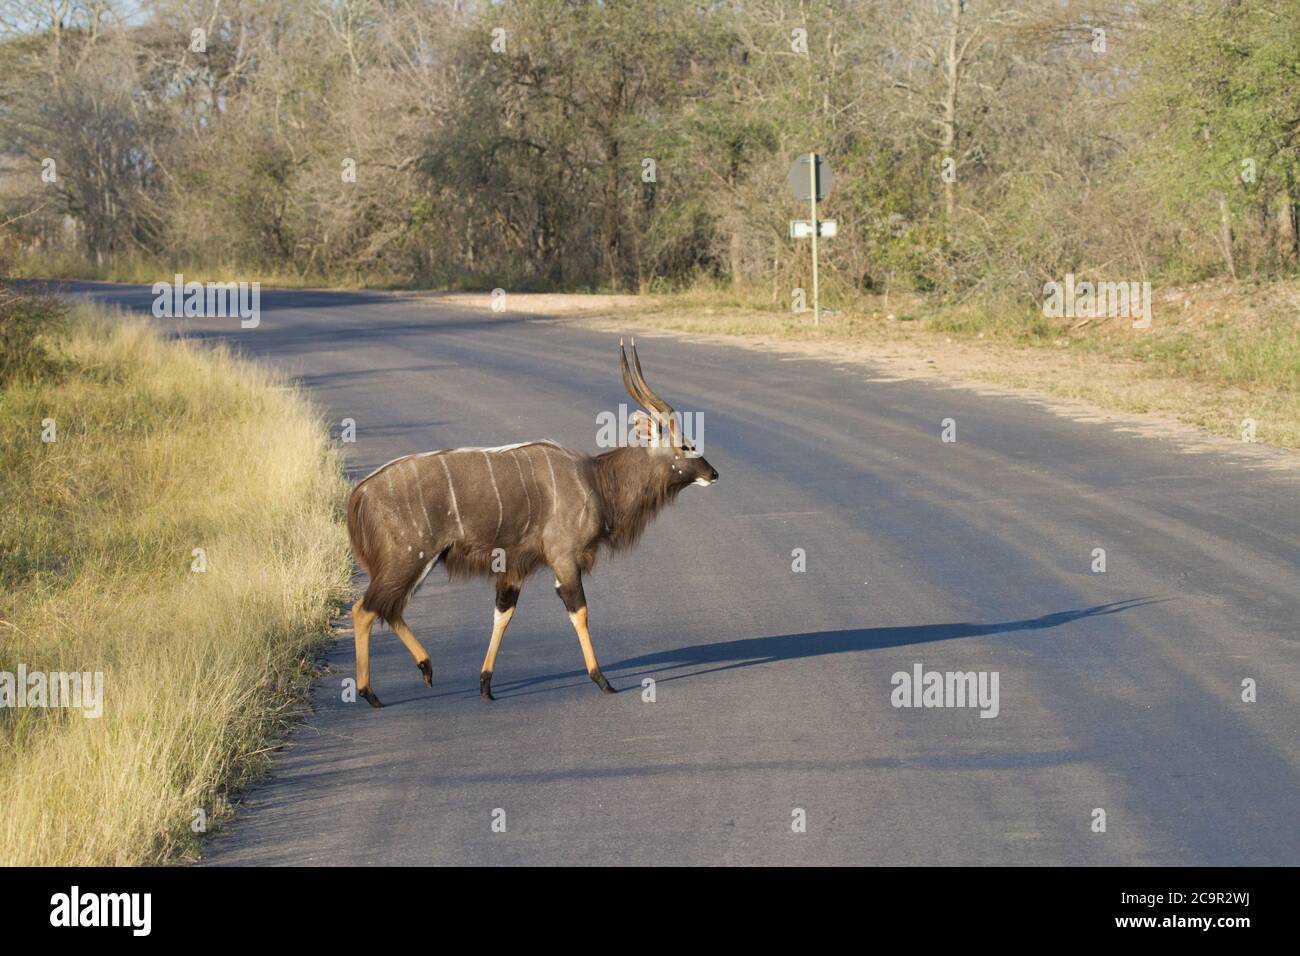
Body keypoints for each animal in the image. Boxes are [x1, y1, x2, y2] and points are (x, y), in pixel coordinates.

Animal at [343, 340, 722, 707]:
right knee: (365, 609)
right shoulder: (564, 558)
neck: (596, 480)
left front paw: (486, 685)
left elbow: (503, 614)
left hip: (417, 562)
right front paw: (603, 681)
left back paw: (425, 668)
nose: (713, 474)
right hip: (410, 557)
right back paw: (370, 693)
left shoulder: (514, 566)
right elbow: (580, 612)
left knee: (388, 607)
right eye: (685, 445)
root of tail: (359, 494)